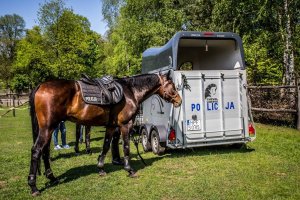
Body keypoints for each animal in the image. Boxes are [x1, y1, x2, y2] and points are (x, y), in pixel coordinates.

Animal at [28, 71, 182, 196]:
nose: (179, 101)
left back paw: (52, 177)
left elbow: (106, 146)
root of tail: (40, 86)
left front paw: (101, 168)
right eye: (172, 85)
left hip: (48, 129)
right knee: (36, 150)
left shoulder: (111, 126)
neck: (130, 91)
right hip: (48, 128)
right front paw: (129, 169)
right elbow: (126, 147)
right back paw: (33, 186)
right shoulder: (125, 125)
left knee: (45, 152)